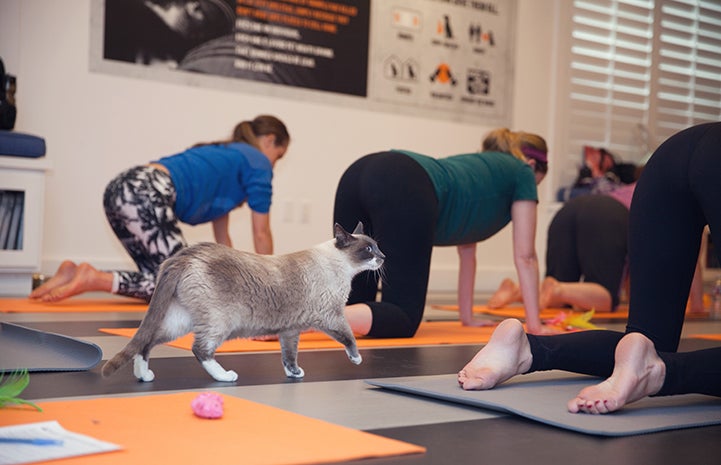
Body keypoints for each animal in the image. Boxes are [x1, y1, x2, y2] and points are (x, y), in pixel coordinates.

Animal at [102, 223, 386, 382]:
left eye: (377, 247)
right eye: (368, 250)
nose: (383, 257)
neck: (343, 269)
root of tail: (181, 256)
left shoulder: (290, 330)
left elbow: (289, 356)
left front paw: (294, 374)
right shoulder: (331, 316)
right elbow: (349, 337)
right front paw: (356, 359)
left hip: (178, 322)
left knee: (146, 343)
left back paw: (144, 376)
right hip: (219, 322)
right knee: (199, 350)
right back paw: (225, 377)